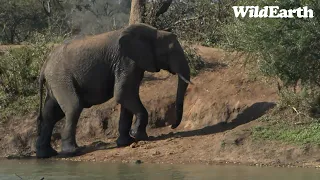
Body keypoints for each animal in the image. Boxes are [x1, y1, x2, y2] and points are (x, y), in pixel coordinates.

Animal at [35, 22, 190, 158]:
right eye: (171, 52)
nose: (172, 126)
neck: (155, 32)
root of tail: (44, 65)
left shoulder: (133, 63)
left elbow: (128, 96)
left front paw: (126, 142)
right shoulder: (126, 60)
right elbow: (123, 94)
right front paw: (138, 135)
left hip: (55, 81)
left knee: (51, 113)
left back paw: (46, 154)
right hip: (61, 78)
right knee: (73, 107)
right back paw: (72, 152)